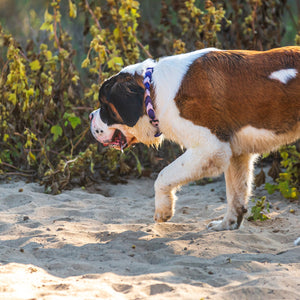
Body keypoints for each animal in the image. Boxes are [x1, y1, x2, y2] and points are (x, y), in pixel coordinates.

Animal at [89, 45, 300, 231]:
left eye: (105, 107)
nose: (90, 116)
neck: (154, 92)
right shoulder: (236, 153)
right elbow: (235, 194)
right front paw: (227, 224)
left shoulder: (211, 148)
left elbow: (164, 175)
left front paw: (163, 210)